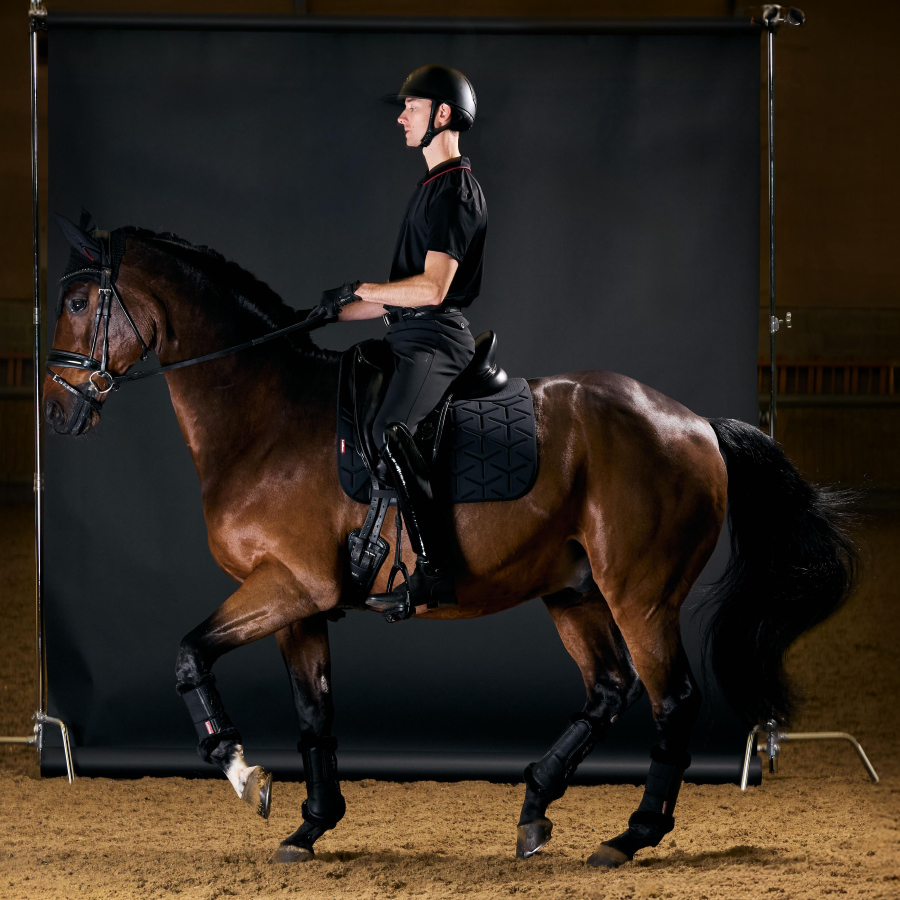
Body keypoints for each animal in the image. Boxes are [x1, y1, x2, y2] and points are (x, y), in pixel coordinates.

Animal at [43, 222, 857, 868]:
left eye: (80, 303)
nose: (54, 410)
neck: (265, 419)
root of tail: (694, 425)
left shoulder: (290, 586)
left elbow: (189, 654)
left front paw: (245, 774)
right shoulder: (298, 603)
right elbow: (314, 715)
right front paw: (311, 827)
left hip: (642, 595)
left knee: (672, 702)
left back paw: (632, 836)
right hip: (572, 589)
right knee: (608, 689)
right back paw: (534, 808)